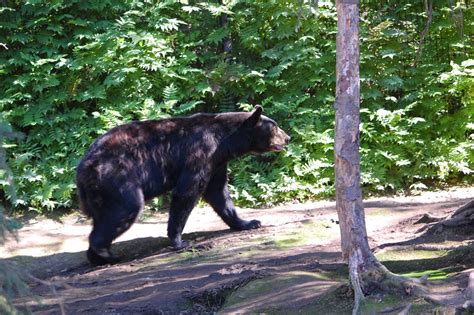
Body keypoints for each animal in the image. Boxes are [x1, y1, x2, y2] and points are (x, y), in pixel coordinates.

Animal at [76, 107, 288, 266]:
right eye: (276, 126)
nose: (288, 138)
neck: (224, 139)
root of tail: (83, 169)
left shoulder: (217, 162)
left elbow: (218, 192)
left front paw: (249, 222)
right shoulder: (201, 153)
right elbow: (187, 192)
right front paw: (180, 240)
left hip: (100, 194)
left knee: (105, 217)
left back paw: (98, 257)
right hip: (118, 176)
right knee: (127, 207)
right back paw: (105, 251)